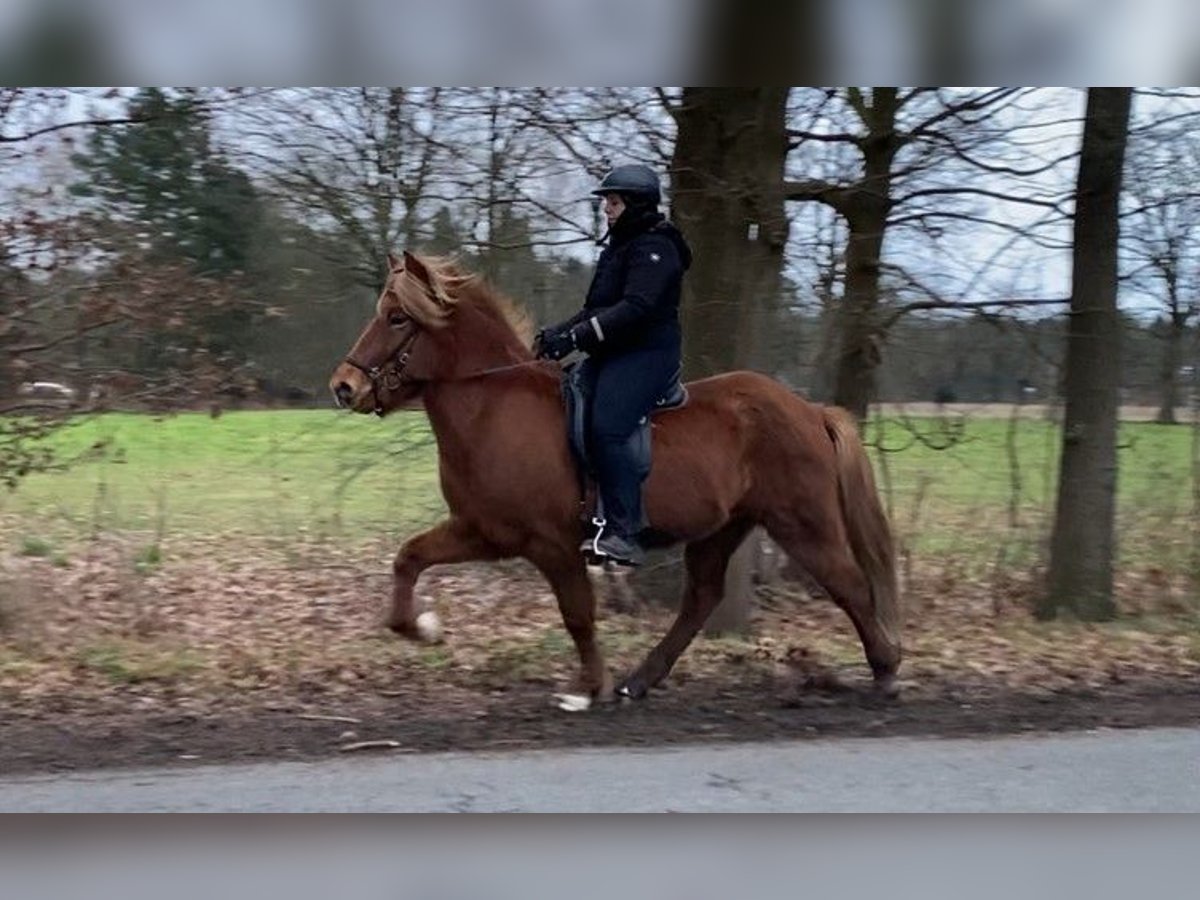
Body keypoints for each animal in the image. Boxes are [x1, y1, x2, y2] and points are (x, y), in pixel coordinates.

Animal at [328, 252, 902, 705]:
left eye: (397, 317)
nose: (343, 386)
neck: (493, 407)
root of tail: (809, 410)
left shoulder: (552, 544)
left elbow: (578, 614)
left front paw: (589, 687)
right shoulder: (482, 532)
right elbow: (408, 558)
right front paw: (423, 630)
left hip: (802, 522)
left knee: (849, 583)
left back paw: (886, 669)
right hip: (723, 528)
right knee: (702, 599)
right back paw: (641, 680)